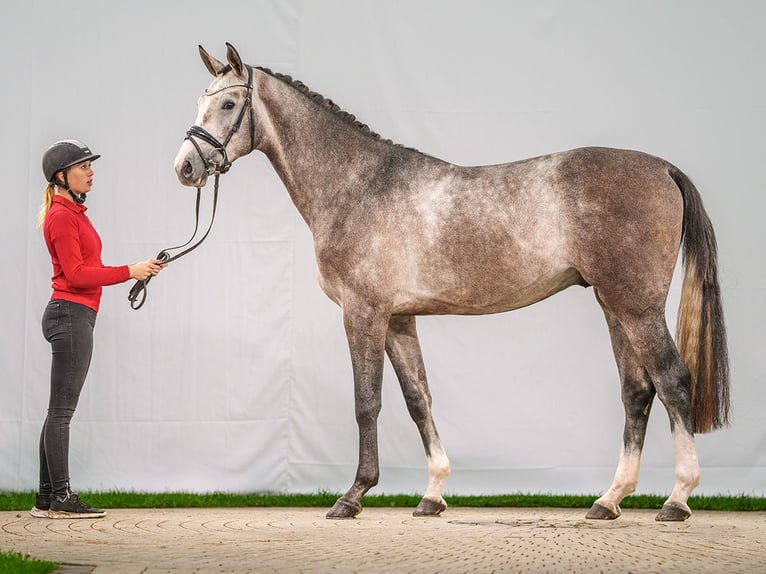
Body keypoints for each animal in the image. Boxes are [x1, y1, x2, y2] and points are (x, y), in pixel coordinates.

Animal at [176, 42, 732, 524]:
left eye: (228, 102)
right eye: (202, 100)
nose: (185, 166)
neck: (358, 185)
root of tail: (662, 168)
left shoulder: (363, 312)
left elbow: (366, 401)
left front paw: (353, 495)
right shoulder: (399, 318)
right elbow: (417, 399)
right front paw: (433, 494)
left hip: (637, 306)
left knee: (673, 381)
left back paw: (677, 499)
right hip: (614, 304)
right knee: (637, 391)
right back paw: (608, 500)